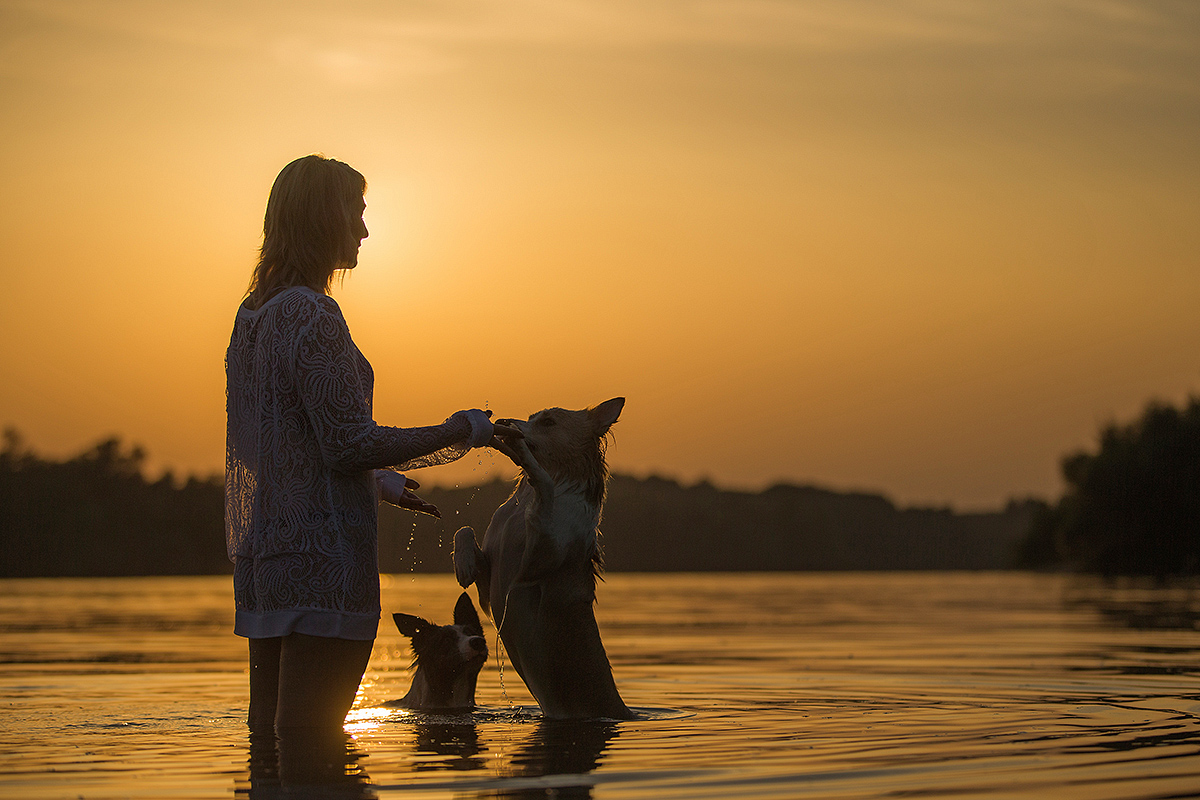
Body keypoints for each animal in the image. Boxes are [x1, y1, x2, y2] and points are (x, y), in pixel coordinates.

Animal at [451, 398, 638, 719]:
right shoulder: (488, 583)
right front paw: (462, 564)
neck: (525, 500)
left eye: (548, 422)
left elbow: (545, 488)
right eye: (529, 417)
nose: (504, 422)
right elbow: (464, 530)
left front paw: (530, 462)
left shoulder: (539, 559)